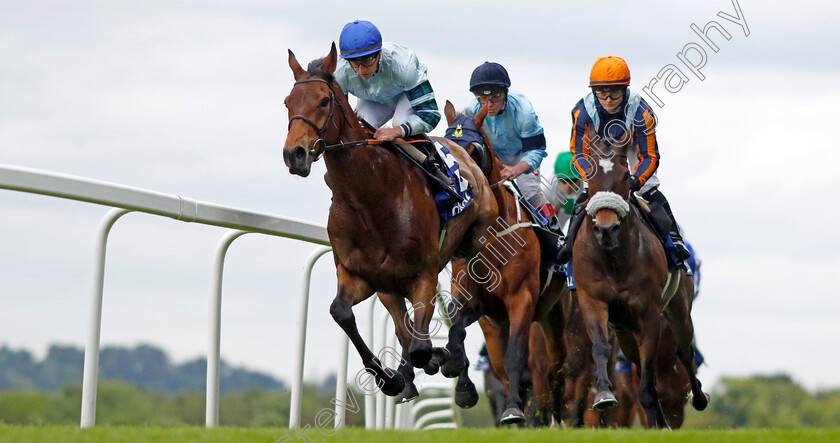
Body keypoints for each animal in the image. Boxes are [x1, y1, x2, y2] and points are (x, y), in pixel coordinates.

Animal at [282, 45, 498, 398]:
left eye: (324, 101)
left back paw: (458, 370)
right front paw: (391, 378)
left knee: (465, 304)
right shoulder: (362, 276)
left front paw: (436, 357)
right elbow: (342, 312)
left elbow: (421, 346)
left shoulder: (423, 275)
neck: (371, 198)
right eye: (288, 101)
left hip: (474, 246)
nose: (294, 154)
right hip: (391, 286)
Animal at [424, 102, 568, 424]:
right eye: (446, 146)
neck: (489, 237)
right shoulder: (474, 303)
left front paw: (514, 411)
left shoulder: (521, 300)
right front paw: (461, 383)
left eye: (474, 150)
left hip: (551, 316)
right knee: (502, 369)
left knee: (554, 369)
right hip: (496, 328)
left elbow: (516, 356)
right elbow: (457, 332)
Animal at [572, 129, 708, 430]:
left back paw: (698, 398)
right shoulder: (592, 301)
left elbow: (650, 375)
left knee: (684, 351)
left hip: (679, 310)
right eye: (590, 175)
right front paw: (603, 395)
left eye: (625, 175)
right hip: (625, 332)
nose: (606, 229)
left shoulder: (649, 314)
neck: (614, 257)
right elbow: (601, 346)